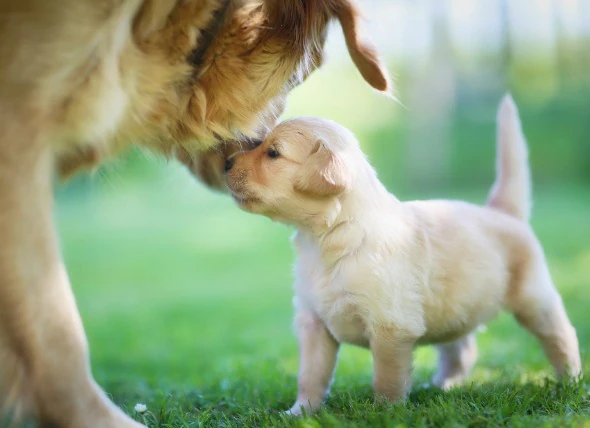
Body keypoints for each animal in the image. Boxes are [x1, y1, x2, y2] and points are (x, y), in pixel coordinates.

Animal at [225, 96, 584, 414]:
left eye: (273, 153)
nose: (226, 163)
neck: (329, 237)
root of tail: (503, 212)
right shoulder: (313, 323)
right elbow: (310, 376)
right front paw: (300, 412)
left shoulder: (391, 327)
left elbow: (387, 378)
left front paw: (386, 412)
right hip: (454, 308)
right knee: (462, 349)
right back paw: (442, 386)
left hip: (534, 298)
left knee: (561, 336)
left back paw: (570, 382)